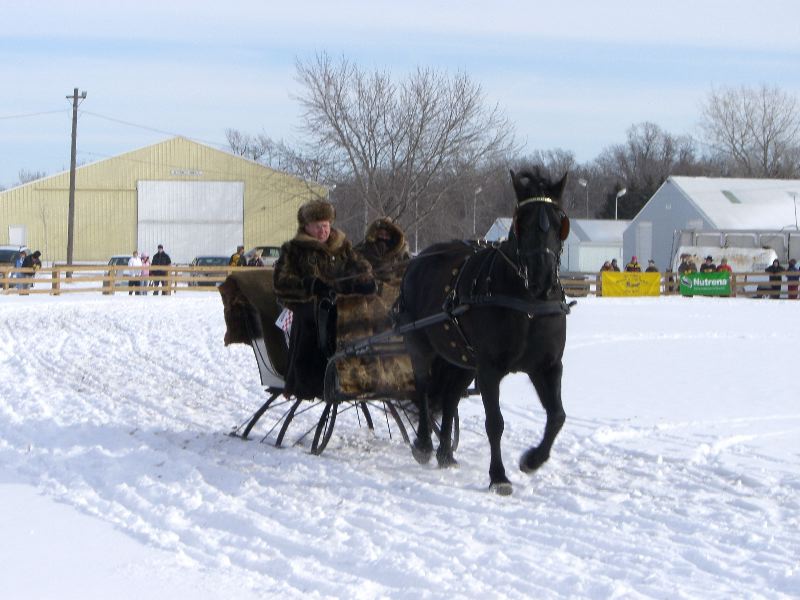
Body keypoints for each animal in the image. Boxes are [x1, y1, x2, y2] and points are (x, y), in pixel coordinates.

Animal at [396, 168, 572, 492]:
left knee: (450, 397)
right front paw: (498, 476)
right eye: (522, 221)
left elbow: (557, 416)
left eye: (559, 223)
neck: (528, 304)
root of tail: (418, 259)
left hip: (461, 360)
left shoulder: (547, 366)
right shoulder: (489, 368)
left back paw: (445, 453)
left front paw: (531, 460)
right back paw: (424, 445)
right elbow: (495, 422)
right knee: (424, 389)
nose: (542, 276)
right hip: (420, 344)